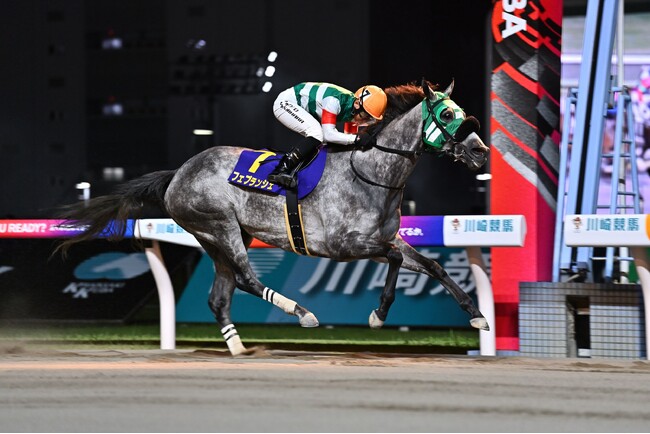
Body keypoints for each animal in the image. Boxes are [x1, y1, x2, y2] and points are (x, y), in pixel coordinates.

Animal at [56, 79, 490, 356]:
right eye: (447, 114)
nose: (481, 152)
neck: (372, 174)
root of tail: (179, 172)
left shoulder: (386, 238)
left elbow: (433, 265)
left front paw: (478, 317)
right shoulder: (344, 245)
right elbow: (397, 260)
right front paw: (378, 314)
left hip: (216, 238)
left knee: (220, 295)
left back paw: (237, 346)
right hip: (220, 225)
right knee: (247, 279)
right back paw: (302, 313)